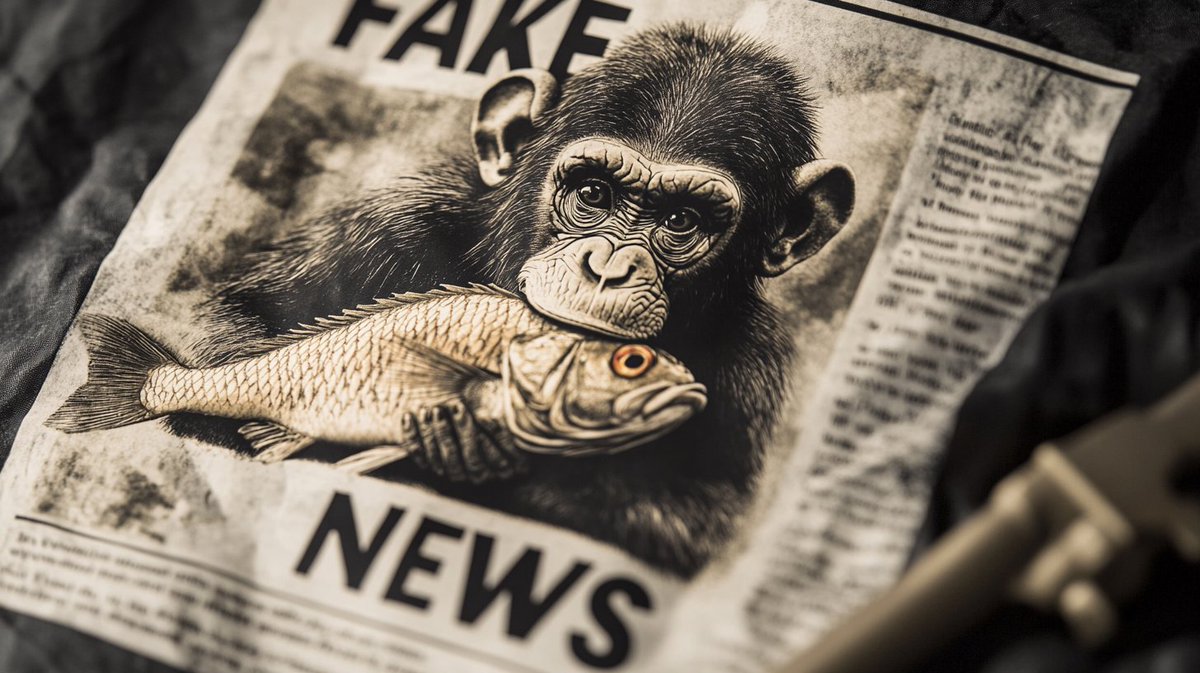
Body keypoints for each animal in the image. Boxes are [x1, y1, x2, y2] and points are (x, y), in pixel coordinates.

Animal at [190, 24, 855, 577]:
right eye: (594, 193)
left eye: (682, 221)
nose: (608, 267)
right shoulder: (381, 227)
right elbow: (235, 320)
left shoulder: (754, 370)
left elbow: (701, 516)